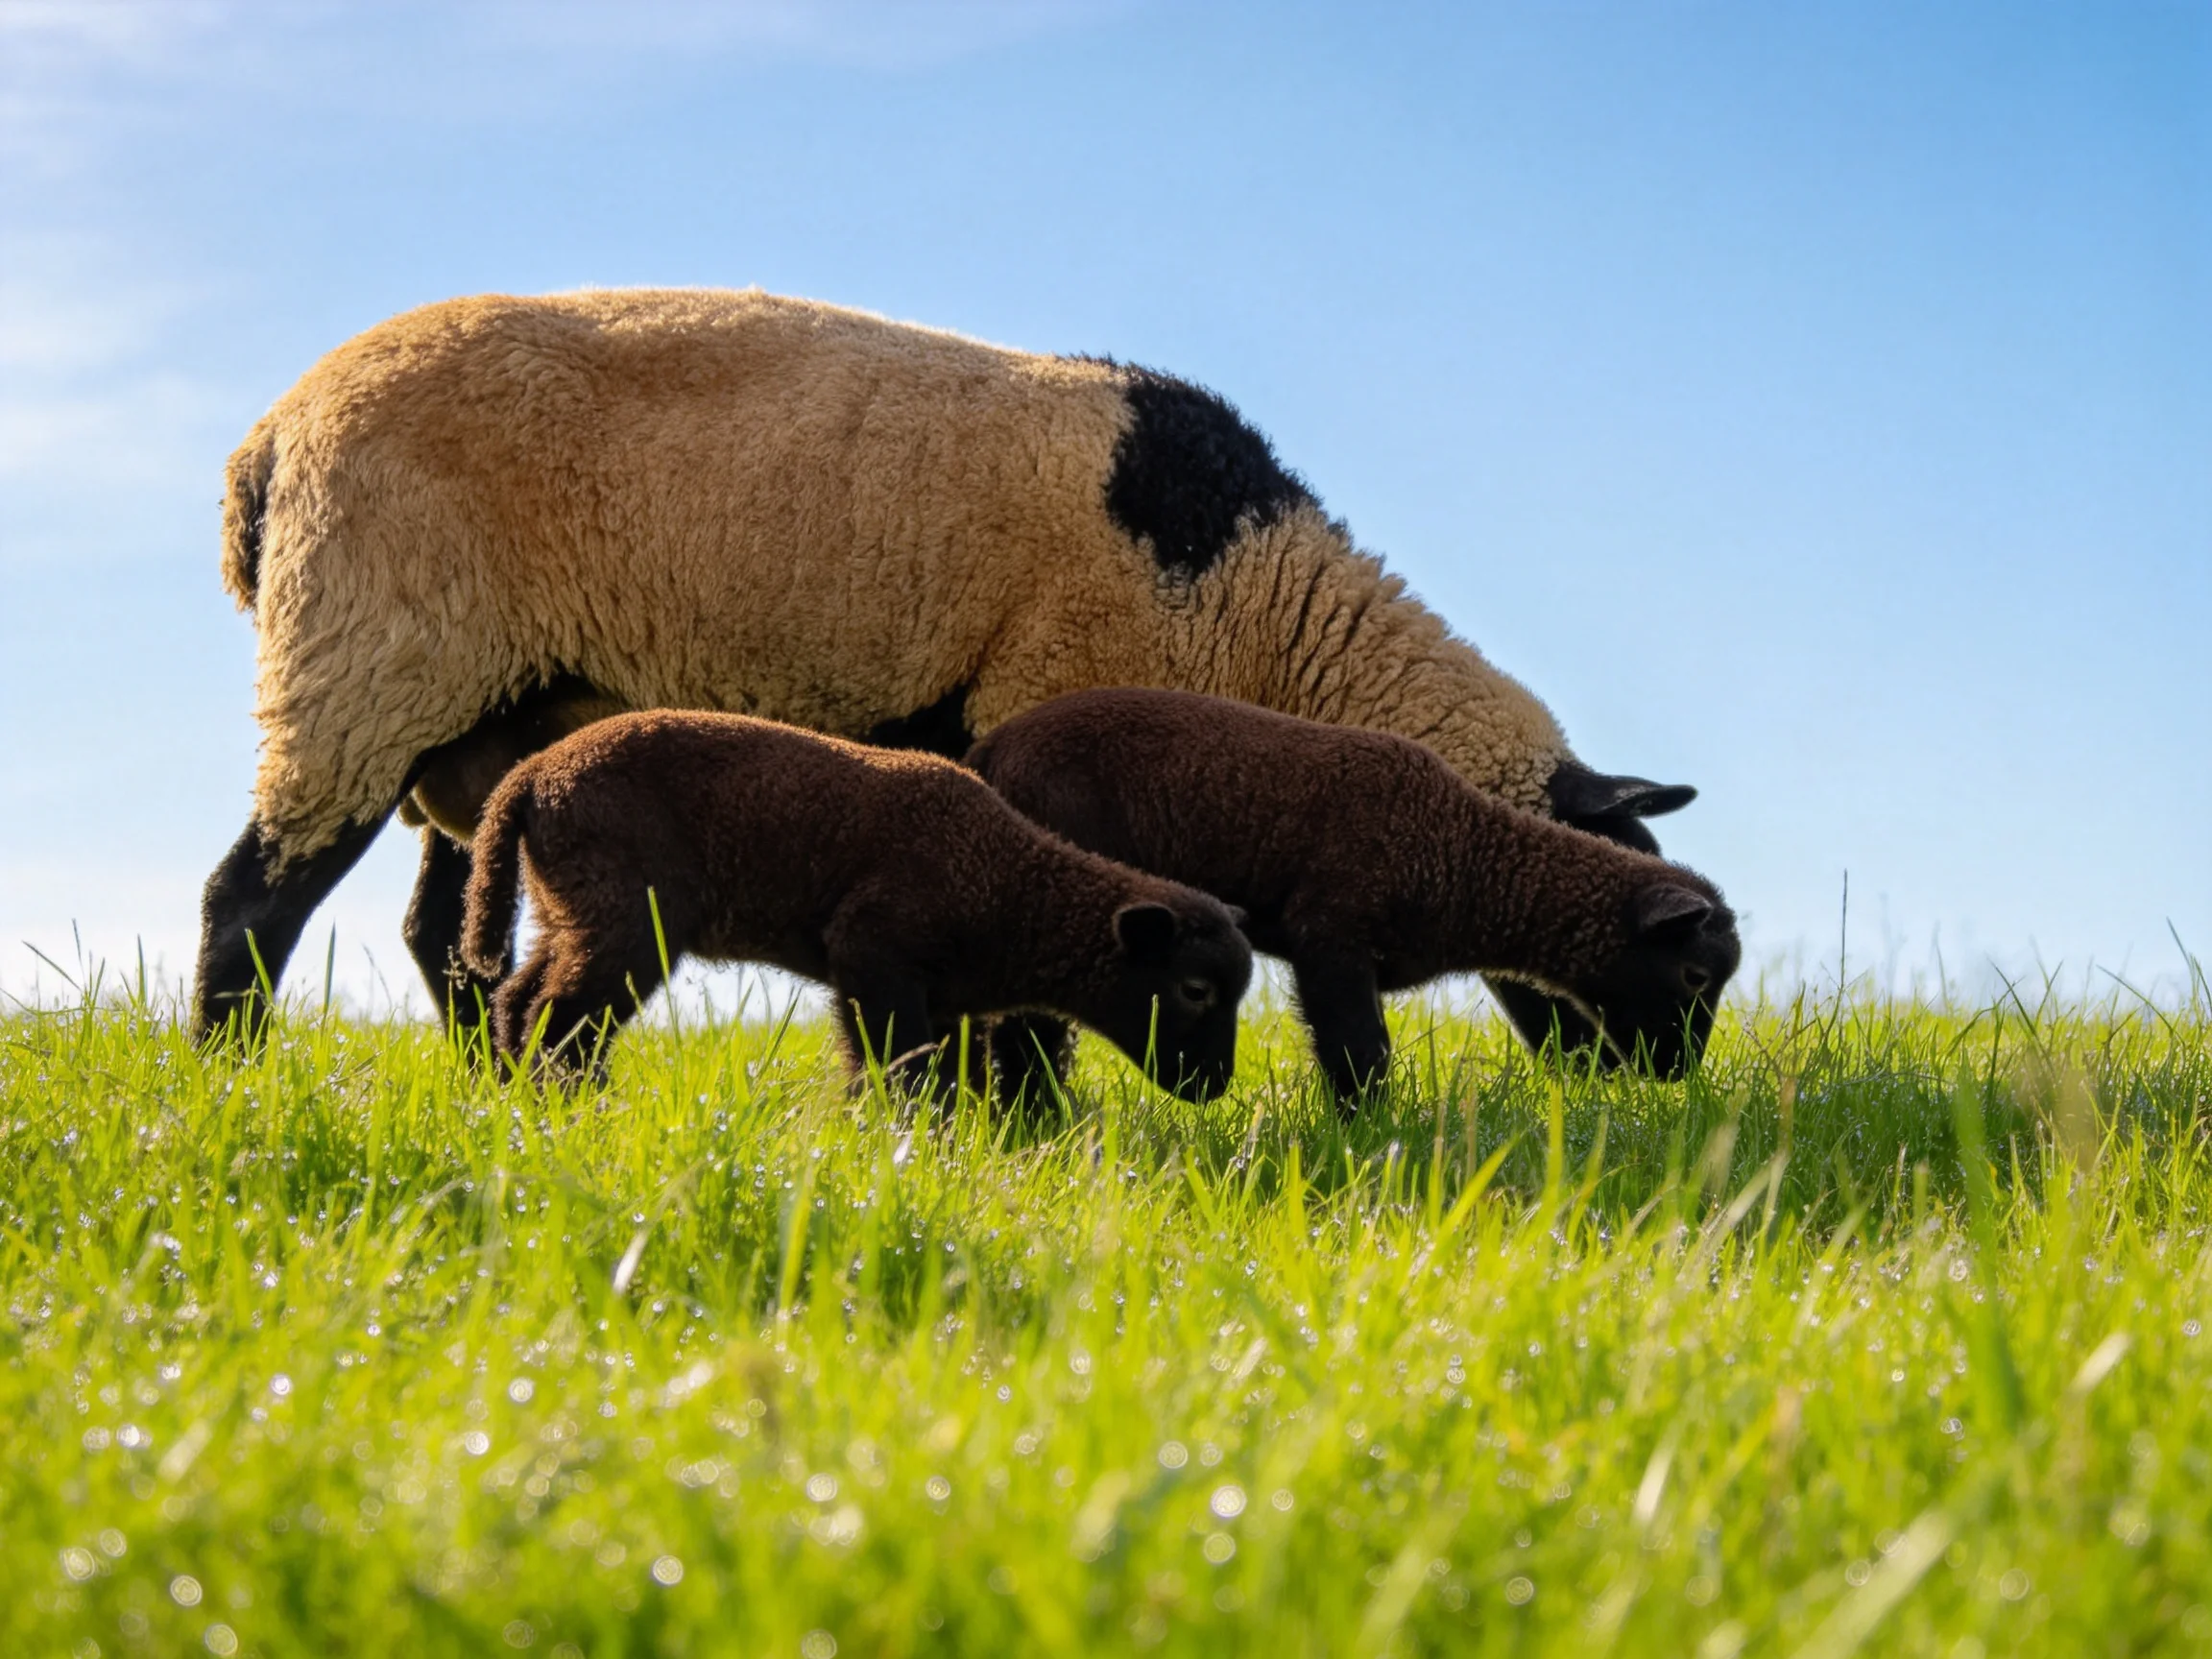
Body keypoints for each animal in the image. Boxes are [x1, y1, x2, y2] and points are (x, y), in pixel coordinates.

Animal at [192, 287, 1696, 1047]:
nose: (1634, 1082)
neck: (1253, 596)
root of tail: (264, 452)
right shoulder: (1052, 694)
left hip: (484, 722)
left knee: (443, 937)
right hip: (365, 659)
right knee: (251, 903)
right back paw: (227, 1079)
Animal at [456, 709, 1254, 1098]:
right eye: (1194, 988)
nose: (1214, 1088)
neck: (1010, 886)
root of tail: (529, 777)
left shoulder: (939, 1002)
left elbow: (934, 1080)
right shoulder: (872, 955)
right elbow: (896, 1070)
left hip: (567, 911)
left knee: (519, 1001)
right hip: (628, 918)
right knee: (560, 1020)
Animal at [965, 689, 1739, 1107]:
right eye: (1695, 974)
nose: (1678, 1073)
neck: (1465, 855)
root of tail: (988, 752)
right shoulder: (1330, 934)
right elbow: (1360, 1053)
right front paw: (1367, 1137)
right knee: (1031, 1027)